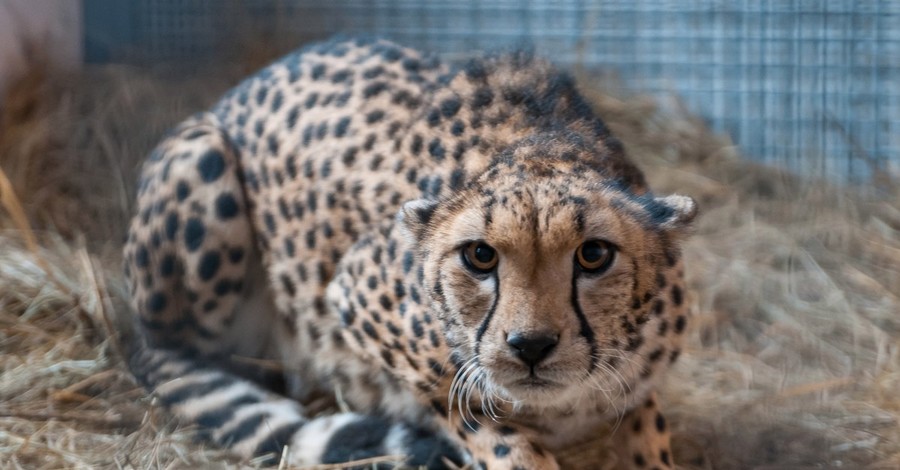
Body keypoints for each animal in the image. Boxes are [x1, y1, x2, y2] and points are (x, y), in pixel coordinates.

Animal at [125, 37, 696, 470]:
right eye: (480, 257)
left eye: (593, 255)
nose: (530, 346)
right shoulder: (354, 298)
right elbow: (490, 431)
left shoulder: (640, 387)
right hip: (201, 154)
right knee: (165, 352)